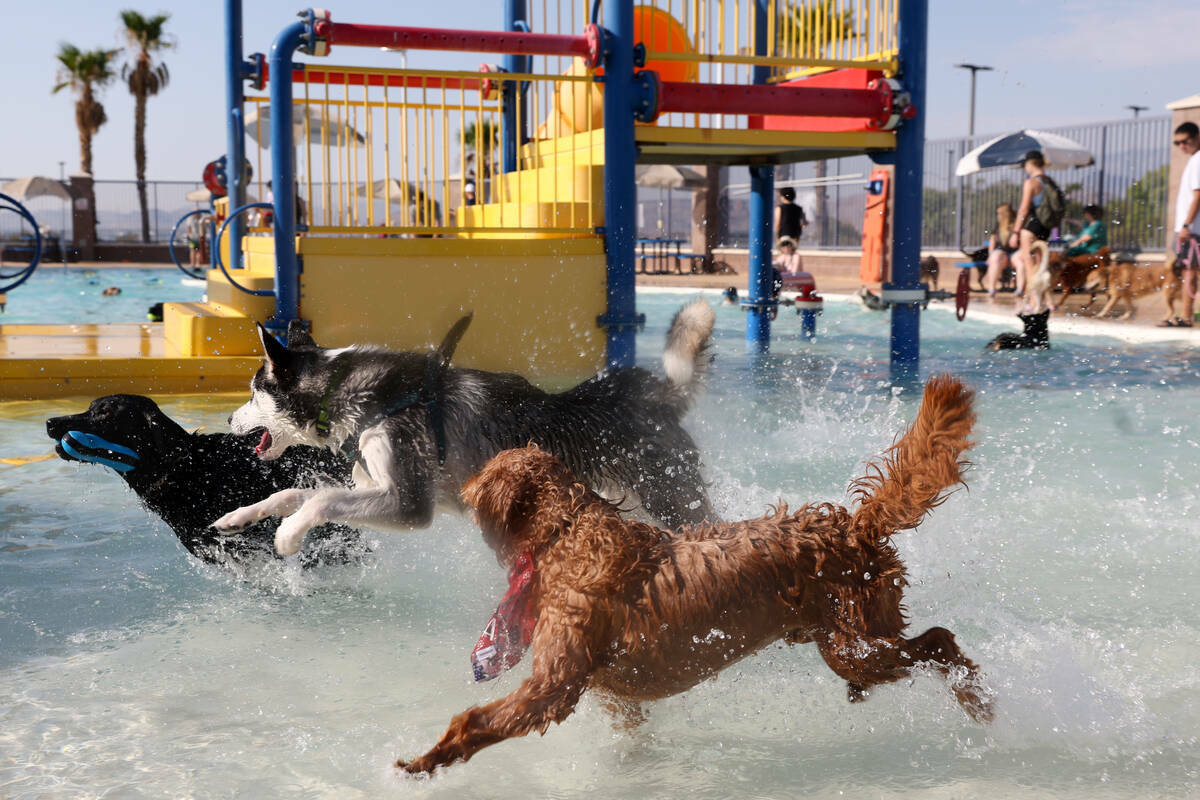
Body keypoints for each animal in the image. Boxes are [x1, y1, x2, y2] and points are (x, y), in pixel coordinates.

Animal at [212, 303, 715, 561]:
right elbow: (295, 493)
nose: (229, 421)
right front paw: (241, 516)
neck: (356, 393)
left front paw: (288, 535)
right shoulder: (375, 486)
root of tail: (659, 396)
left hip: (670, 499)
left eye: (252, 392)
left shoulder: (409, 503)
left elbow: (319, 501)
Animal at [396, 376, 993, 777]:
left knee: (940, 642)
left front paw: (427, 759)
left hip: (854, 645)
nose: (458, 488)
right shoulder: (611, 692)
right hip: (845, 638)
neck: (569, 532)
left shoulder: (554, 686)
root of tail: (855, 528)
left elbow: (477, 722)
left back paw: (977, 702)